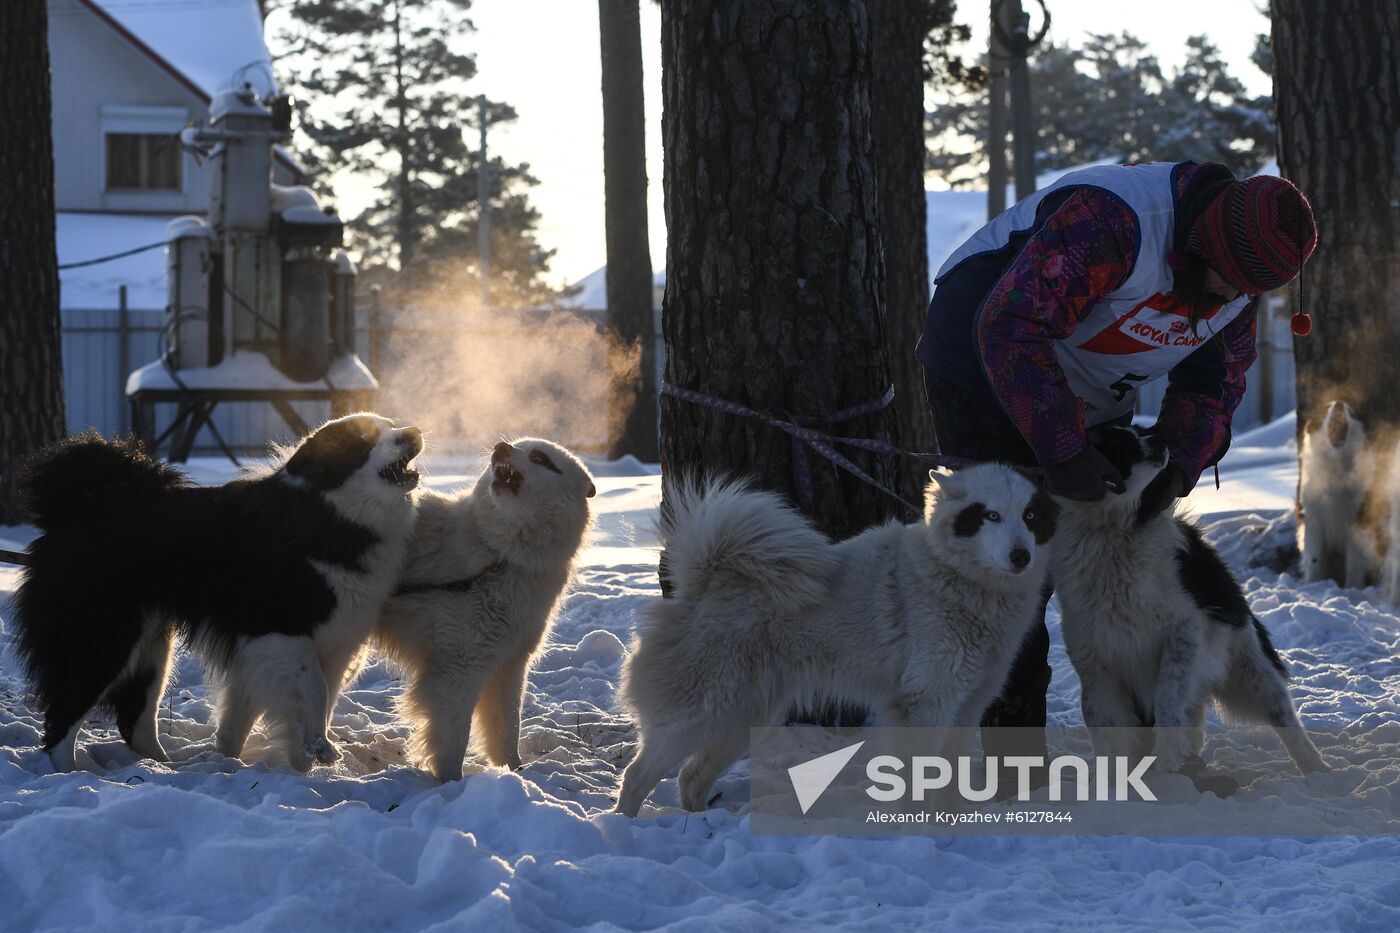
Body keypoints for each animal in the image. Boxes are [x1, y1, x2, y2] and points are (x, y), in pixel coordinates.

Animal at [375, 437, 593, 778]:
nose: (500, 446)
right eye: (516, 445)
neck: (499, 555)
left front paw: (515, 773)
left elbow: (507, 728)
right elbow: (454, 736)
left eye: (540, 458)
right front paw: (451, 782)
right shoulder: (459, 666)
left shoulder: (510, 666)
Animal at [616, 465, 1058, 812]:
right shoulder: (925, 705)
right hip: (700, 714)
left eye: (1030, 515)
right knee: (637, 775)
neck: (954, 576)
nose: (1021, 556)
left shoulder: (966, 707)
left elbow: (950, 777)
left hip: (743, 716)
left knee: (690, 777)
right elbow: (922, 776)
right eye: (990, 515)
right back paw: (624, 828)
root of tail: (703, 581)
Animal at [1052, 425, 1327, 773]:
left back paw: (1318, 772)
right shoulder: (1096, 662)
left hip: (1252, 674)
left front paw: (1167, 758)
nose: (1160, 438)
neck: (1110, 532)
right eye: (1117, 442)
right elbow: (1105, 730)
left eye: (1140, 432)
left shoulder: (1183, 631)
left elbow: (1166, 697)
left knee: (1286, 721)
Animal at [1293, 400, 1383, 588]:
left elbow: (1354, 563)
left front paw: (1352, 588)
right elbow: (1315, 560)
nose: (1339, 404)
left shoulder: (1357, 521)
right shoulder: (1313, 519)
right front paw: (1313, 585)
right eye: (1327, 408)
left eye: (1351, 412)